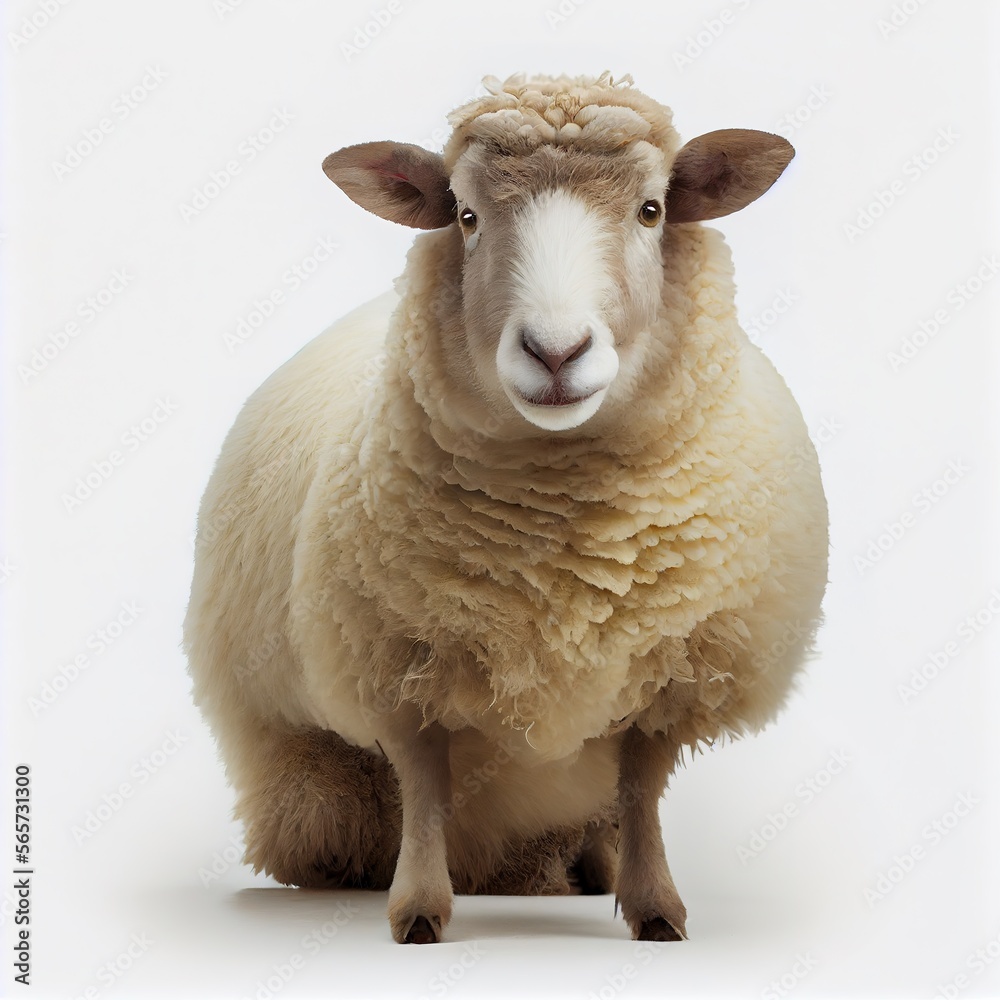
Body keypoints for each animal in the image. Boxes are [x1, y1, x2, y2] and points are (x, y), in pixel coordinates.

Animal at [184, 71, 829, 945]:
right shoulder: (400, 662)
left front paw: (655, 908)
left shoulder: (673, 668)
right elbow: (424, 788)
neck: (567, 541)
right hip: (305, 761)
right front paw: (419, 912)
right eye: (465, 215)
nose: (556, 352)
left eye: (651, 210)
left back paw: (577, 868)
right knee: (337, 819)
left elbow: (642, 787)